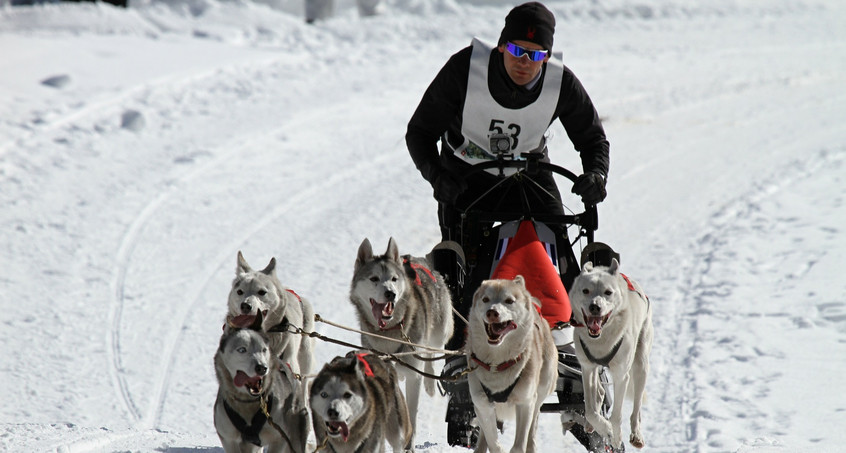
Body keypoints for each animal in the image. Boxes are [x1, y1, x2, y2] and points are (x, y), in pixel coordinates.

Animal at [215, 314, 312, 452]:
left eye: (263, 350)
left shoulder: (279, 438)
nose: (262, 368)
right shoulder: (229, 440)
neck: (247, 403)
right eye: (242, 350)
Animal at [352, 238, 458, 436]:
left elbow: (411, 412)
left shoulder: (413, 375)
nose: (391, 293)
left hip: (438, 333)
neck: (387, 334)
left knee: (430, 352)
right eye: (374, 279)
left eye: (394, 279)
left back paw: (430, 382)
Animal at [464, 276, 556, 452]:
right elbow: (493, 442)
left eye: (509, 301)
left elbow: (519, 445)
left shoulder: (525, 403)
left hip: (540, 392)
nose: (492, 312)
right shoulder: (482, 404)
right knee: (485, 435)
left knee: (532, 430)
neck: (497, 363)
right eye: (485, 299)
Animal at [568, 258, 656, 448]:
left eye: (608, 292)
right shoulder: (587, 368)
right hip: (595, 371)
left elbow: (616, 415)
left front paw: (614, 436)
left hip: (640, 366)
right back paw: (590, 424)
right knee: (599, 393)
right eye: (586, 291)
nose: (595, 306)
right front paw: (603, 427)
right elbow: (590, 410)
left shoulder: (621, 375)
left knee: (636, 408)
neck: (601, 340)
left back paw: (636, 434)